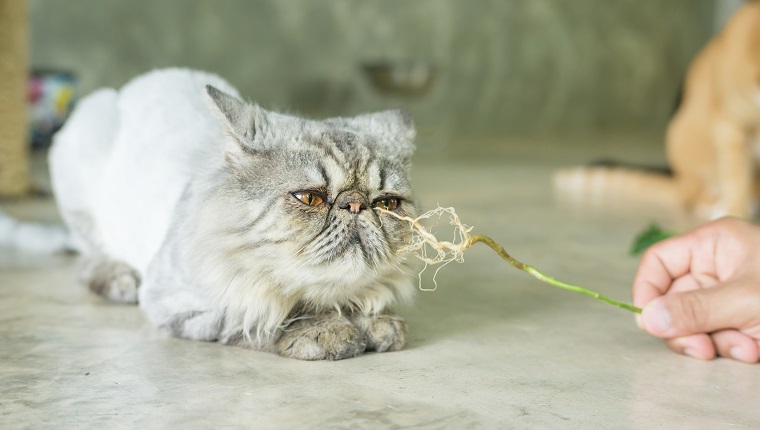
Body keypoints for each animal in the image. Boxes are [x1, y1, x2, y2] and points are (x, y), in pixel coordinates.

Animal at [40, 69, 418, 362]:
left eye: (386, 204)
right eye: (310, 198)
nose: (355, 205)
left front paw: (376, 323)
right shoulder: (187, 304)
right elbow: (271, 315)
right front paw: (329, 331)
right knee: (90, 262)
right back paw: (121, 281)